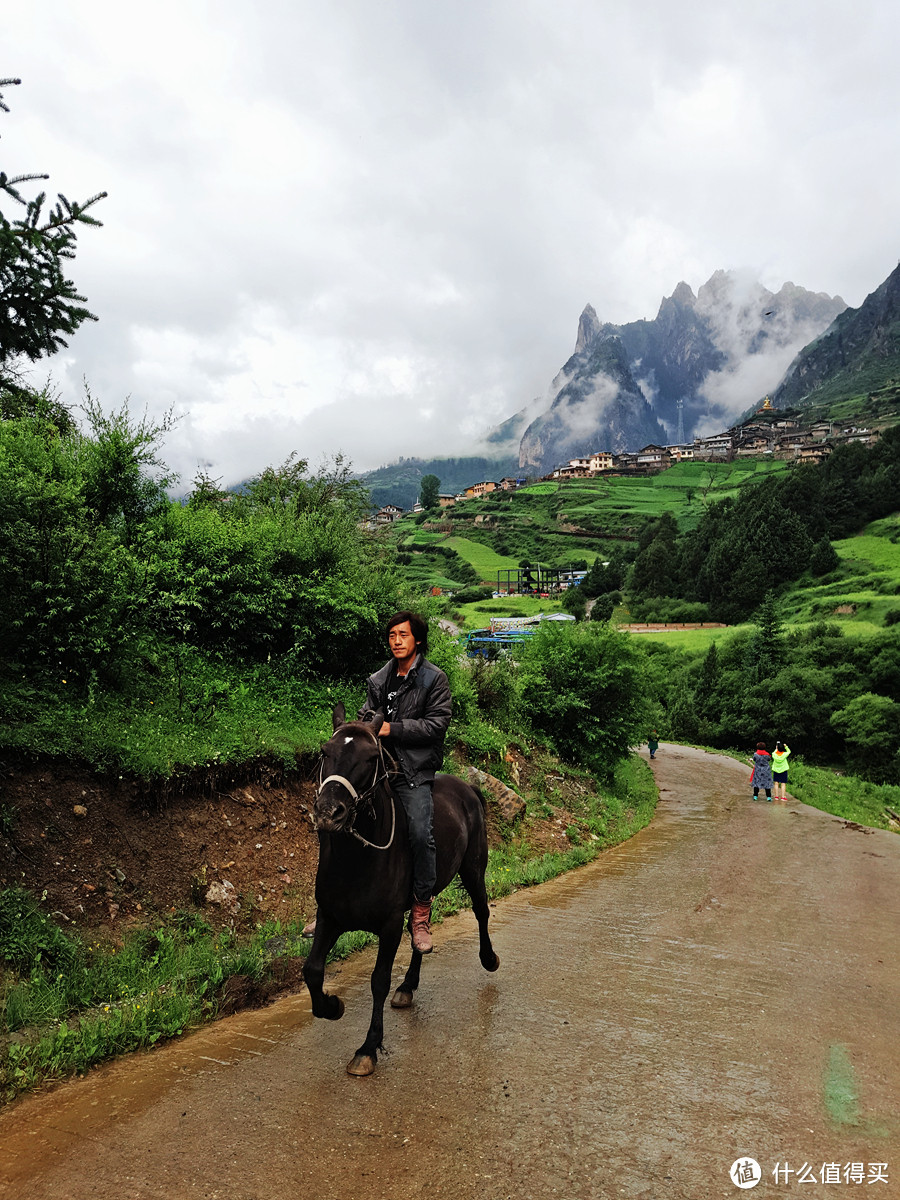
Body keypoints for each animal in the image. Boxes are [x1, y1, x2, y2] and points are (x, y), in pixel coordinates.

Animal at [303, 700, 501, 1080]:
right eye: (324, 751)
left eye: (370, 758)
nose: (328, 813)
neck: (356, 860)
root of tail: (468, 789)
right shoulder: (329, 917)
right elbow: (313, 970)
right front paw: (332, 1006)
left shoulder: (389, 924)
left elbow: (378, 980)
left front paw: (367, 1049)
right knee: (420, 929)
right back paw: (408, 986)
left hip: (473, 869)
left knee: (481, 910)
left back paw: (489, 958)